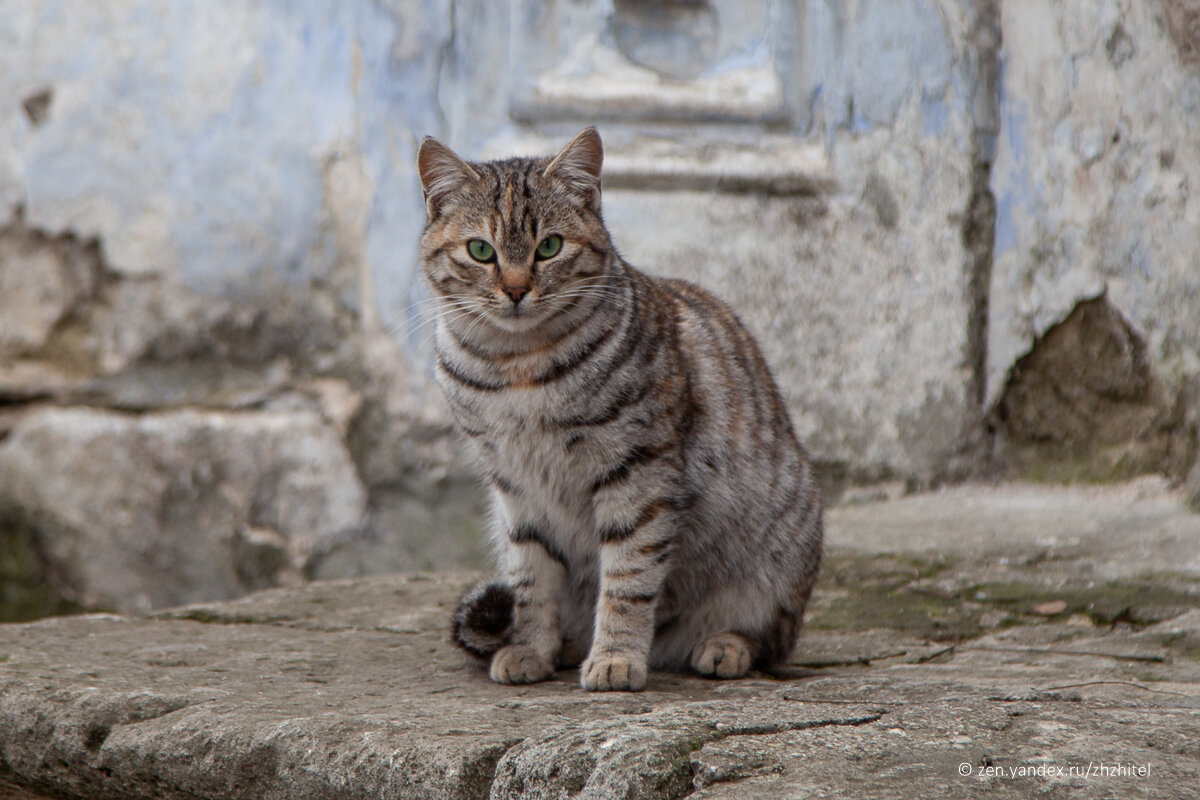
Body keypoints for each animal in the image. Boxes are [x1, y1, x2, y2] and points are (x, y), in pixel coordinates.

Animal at [417, 128, 820, 690]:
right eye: (480, 251)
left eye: (549, 247)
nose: (516, 289)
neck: (518, 366)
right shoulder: (515, 488)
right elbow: (530, 578)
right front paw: (531, 648)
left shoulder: (637, 473)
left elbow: (628, 578)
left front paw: (616, 657)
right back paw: (568, 644)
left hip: (779, 556)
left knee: (771, 638)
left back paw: (722, 645)